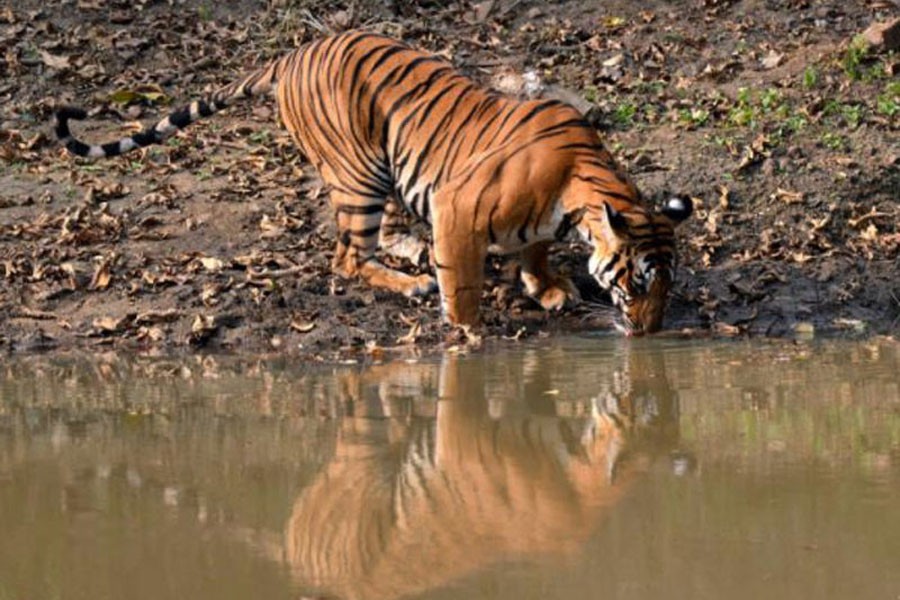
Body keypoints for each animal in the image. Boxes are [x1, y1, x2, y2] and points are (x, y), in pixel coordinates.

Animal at [55, 30, 693, 335]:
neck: (578, 198)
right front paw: (468, 334)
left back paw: (412, 252)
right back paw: (409, 282)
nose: (649, 334)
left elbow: (532, 251)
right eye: (637, 284)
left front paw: (548, 287)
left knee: (380, 235)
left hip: (387, 166)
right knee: (346, 258)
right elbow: (463, 285)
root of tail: (291, 56)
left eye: (667, 286)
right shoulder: (457, 206)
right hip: (357, 173)